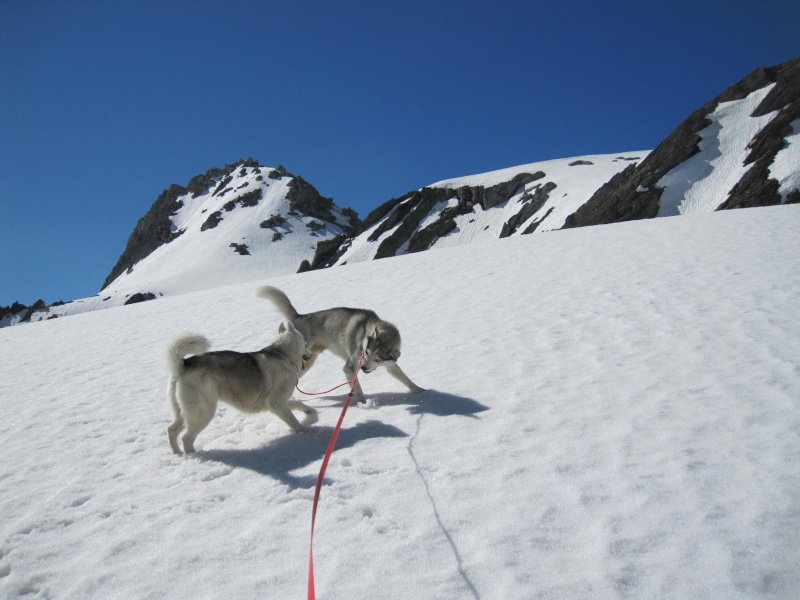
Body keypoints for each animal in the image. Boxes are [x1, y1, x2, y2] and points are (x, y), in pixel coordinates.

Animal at [167, 324, 314, 454]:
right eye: (305, 344)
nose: (310, 354)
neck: (283, 355)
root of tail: (184, 365)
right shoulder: (277, 404)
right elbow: (293, 421)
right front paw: (306, 431)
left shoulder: (280, 403)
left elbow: (297, 403)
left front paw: (309, 411)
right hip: (203, 413)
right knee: (186, 439)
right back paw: (194, 456)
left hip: (186, 413)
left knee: (171, 430)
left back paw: (178, 453)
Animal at [255, 286, 424, 404]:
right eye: (367, 352)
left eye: (378, 359)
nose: (363, 368)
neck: (367, 330)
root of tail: (299, 316)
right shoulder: (350, 367)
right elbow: (357, 388)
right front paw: (364, 404)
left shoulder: (390, 365)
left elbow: (406, 379)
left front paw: (422, 392)